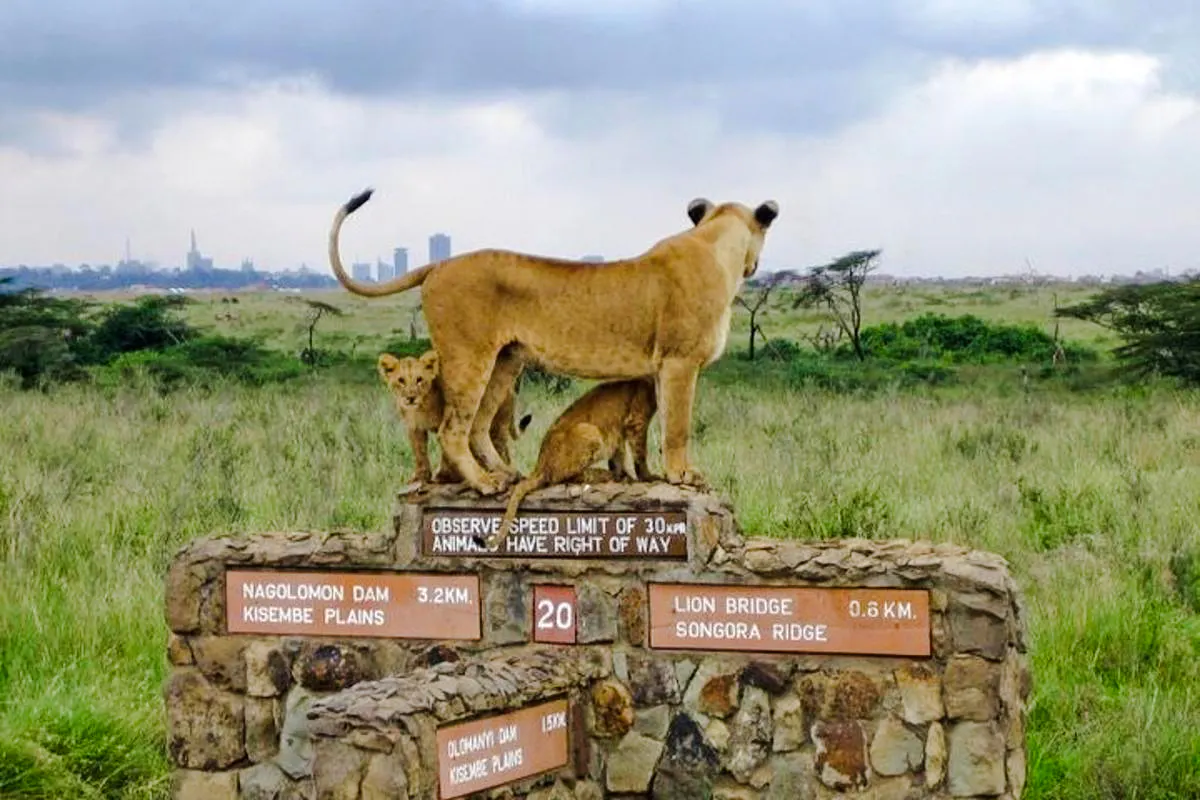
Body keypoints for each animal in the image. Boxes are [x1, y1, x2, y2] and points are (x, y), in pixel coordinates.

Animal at [377, 350, 530, 484]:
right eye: (401, 380)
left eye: (419, 379)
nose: (410, 397)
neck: (419, 407)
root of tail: (511, 391)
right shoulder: (414, 427)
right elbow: (419, 453)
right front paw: (421, 476)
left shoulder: (448, 421)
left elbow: (446, 451)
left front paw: (444, 476)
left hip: (497, 422)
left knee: (500, 446)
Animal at [474, 377, 658, 551]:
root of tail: (540, 463)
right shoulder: (636, 421)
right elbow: (639, 455)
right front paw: (647, 477)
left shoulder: (618, 431)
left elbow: (619, 456)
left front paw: (627, 475)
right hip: (589, 430)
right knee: (566, 477)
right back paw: (606, 475)